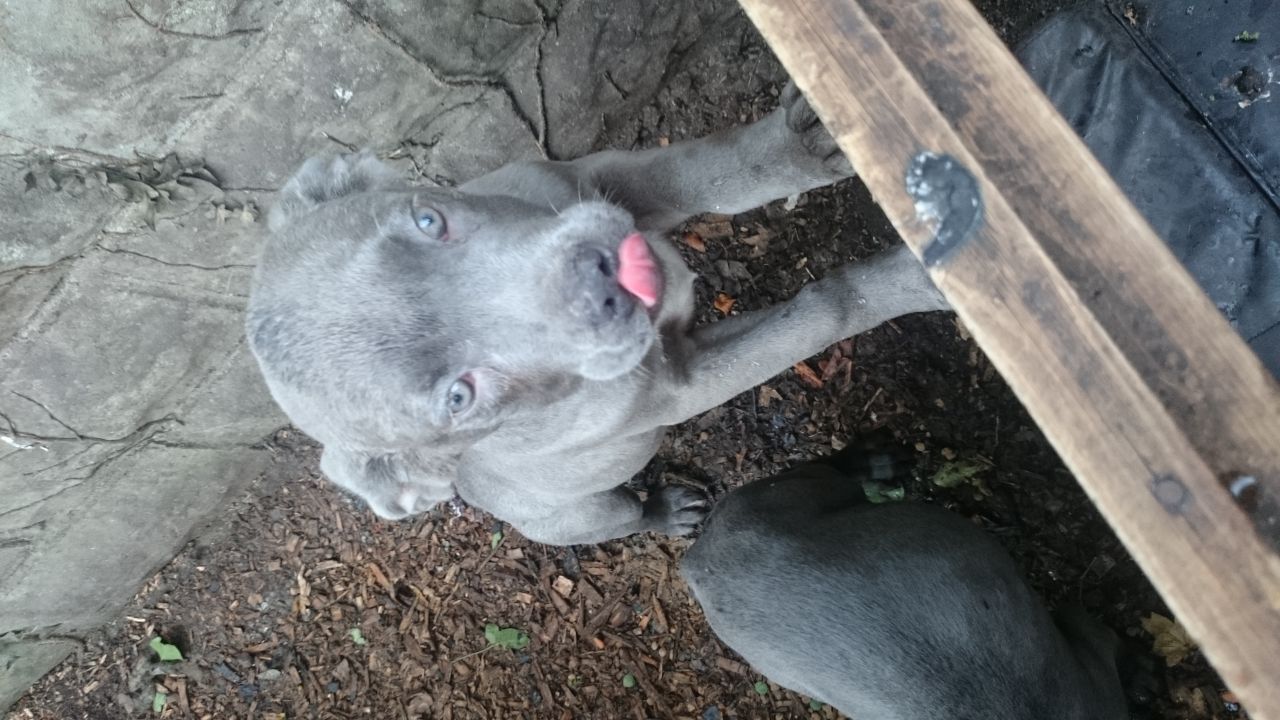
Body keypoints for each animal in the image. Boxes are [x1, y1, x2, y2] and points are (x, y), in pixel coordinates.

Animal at [247, 83, 952, 540]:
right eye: (458, 397)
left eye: (428, 219)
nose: (600, 280)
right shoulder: (680, 383)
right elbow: (821, 312)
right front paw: (915, 282)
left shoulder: (604, 177)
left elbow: (718, 170)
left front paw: (809, 144)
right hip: (576, 517)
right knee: (621, 518)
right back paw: (667, 514)